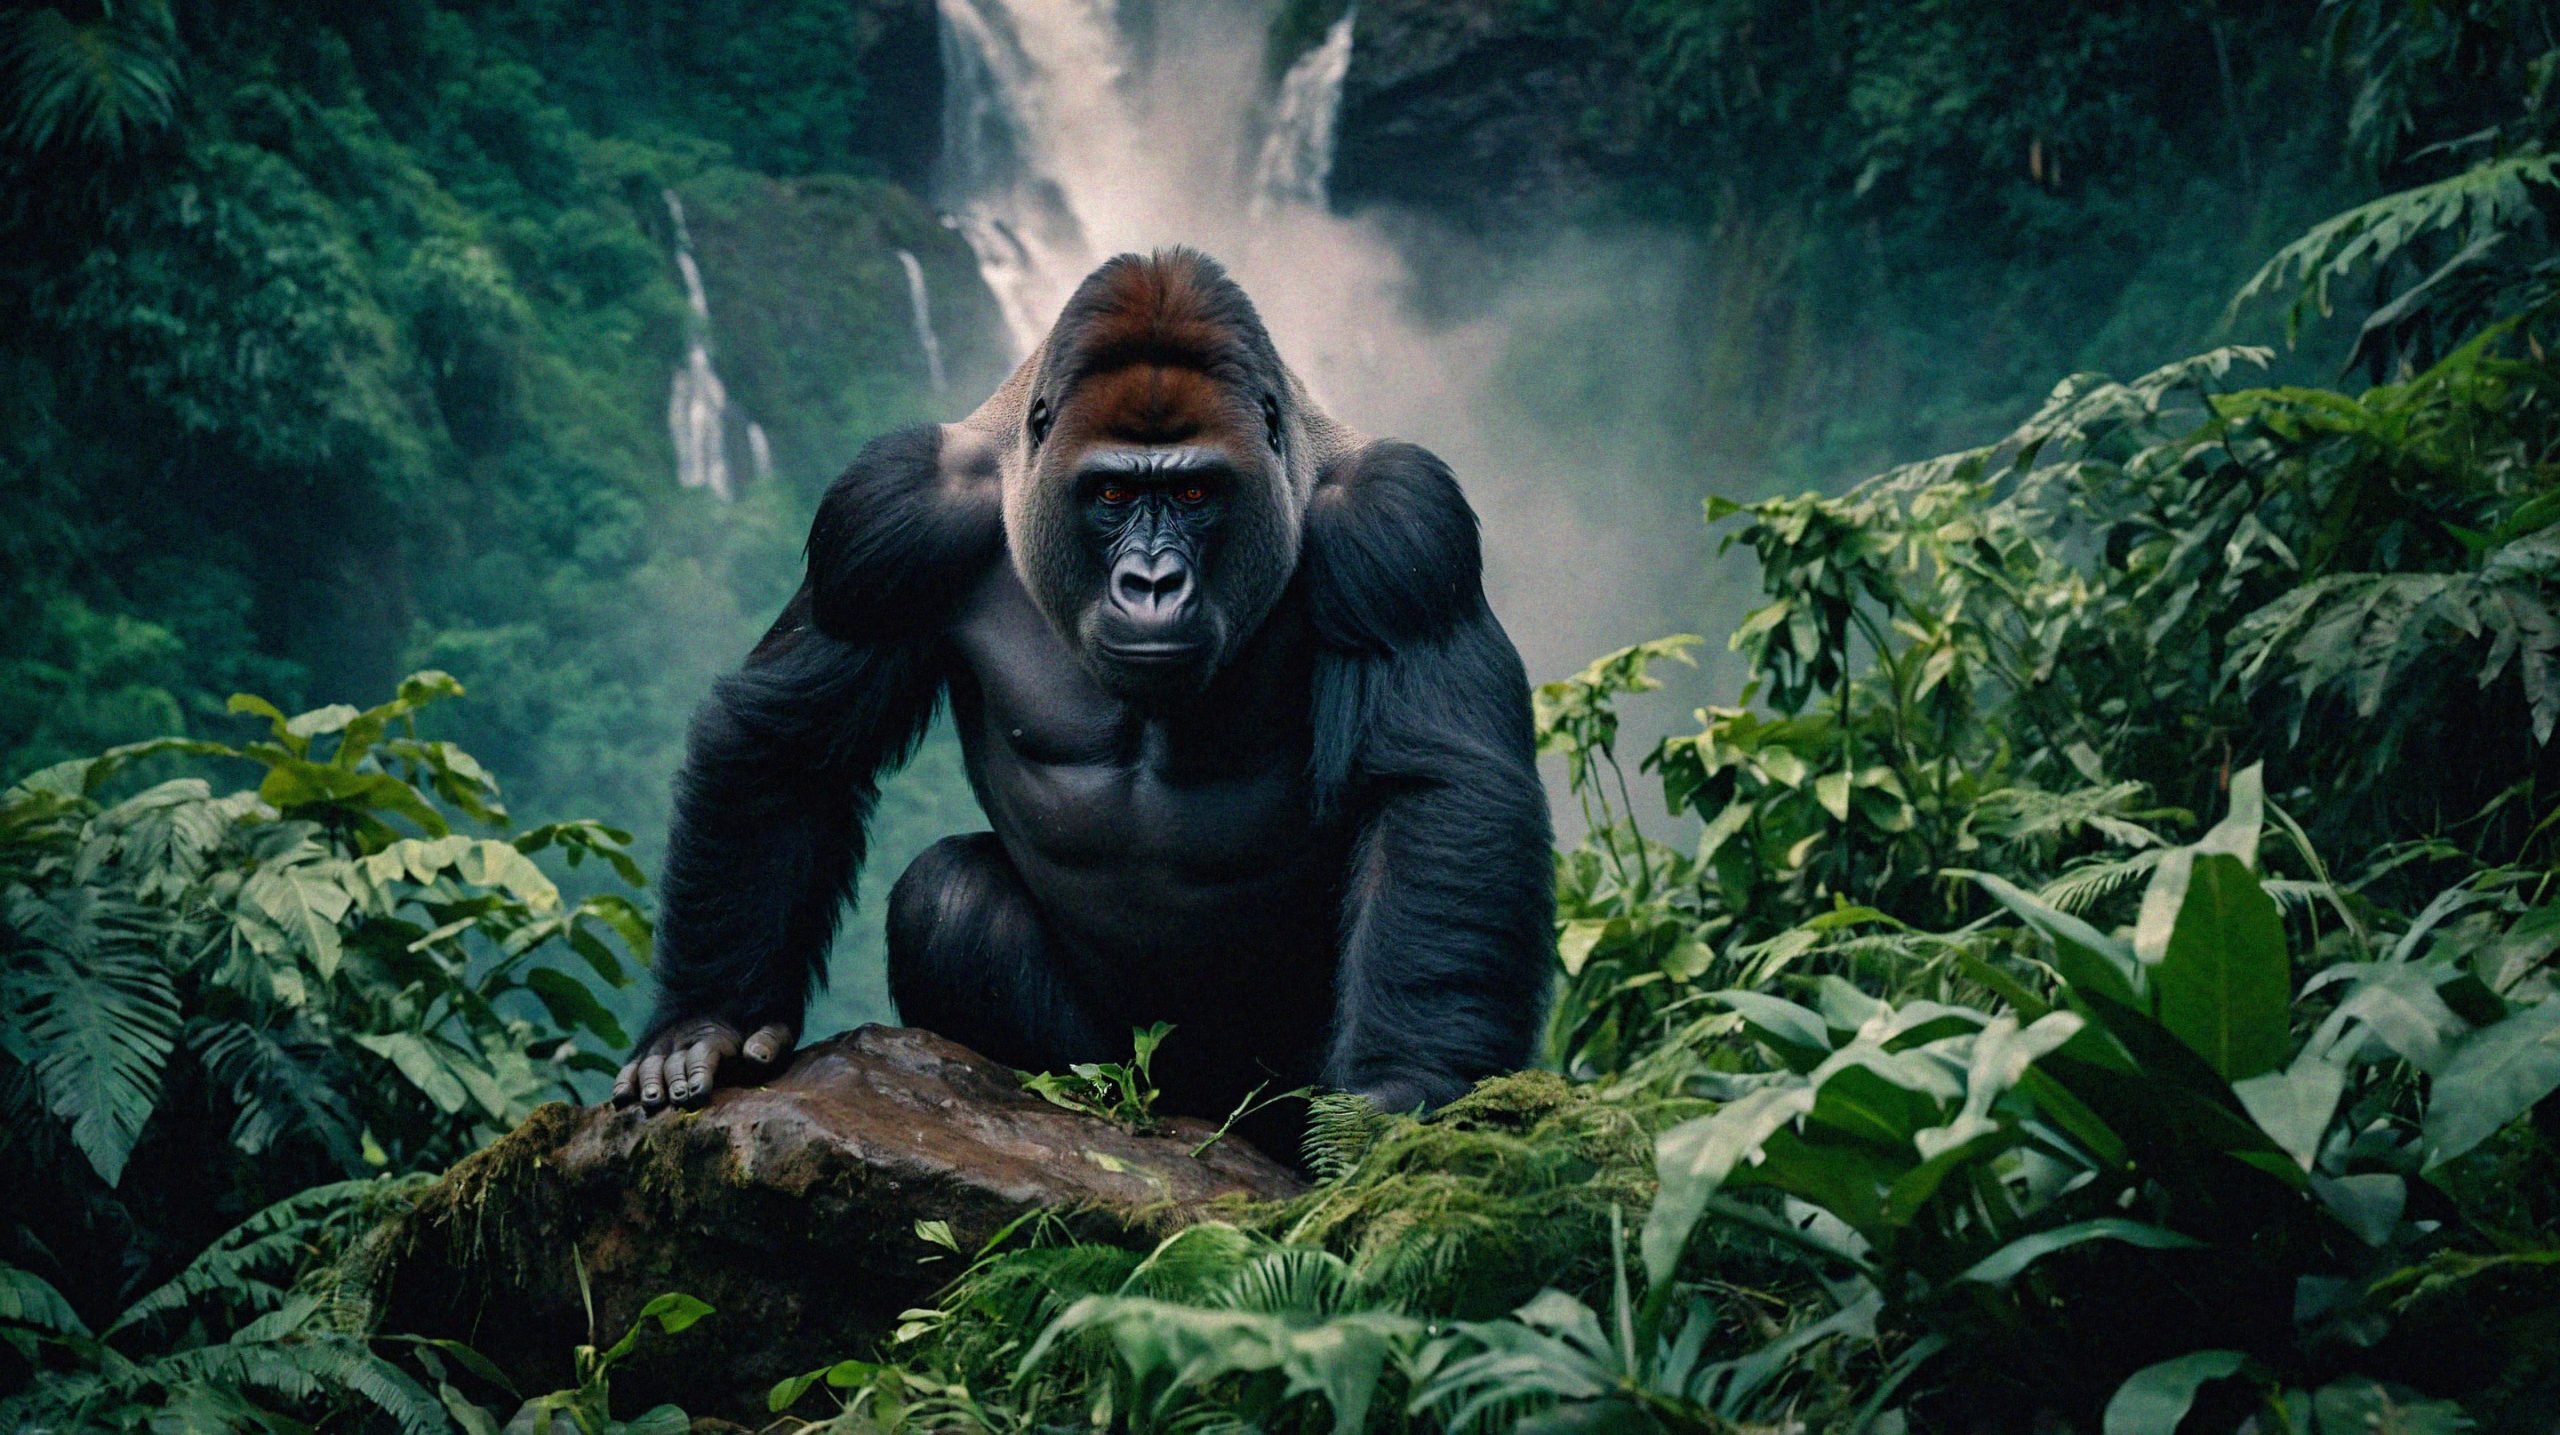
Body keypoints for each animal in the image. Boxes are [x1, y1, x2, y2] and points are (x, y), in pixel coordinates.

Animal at [611, 248, 1553, 1144]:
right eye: (1112, 492)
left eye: (1194, 491)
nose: (1152, 583)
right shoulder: (884, 516)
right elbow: (790, 745)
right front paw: (712, 1017)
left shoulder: (1403, 528)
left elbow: (1434, 789)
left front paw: (1404, 1083)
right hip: (1124, 1077)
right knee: (951, 902)